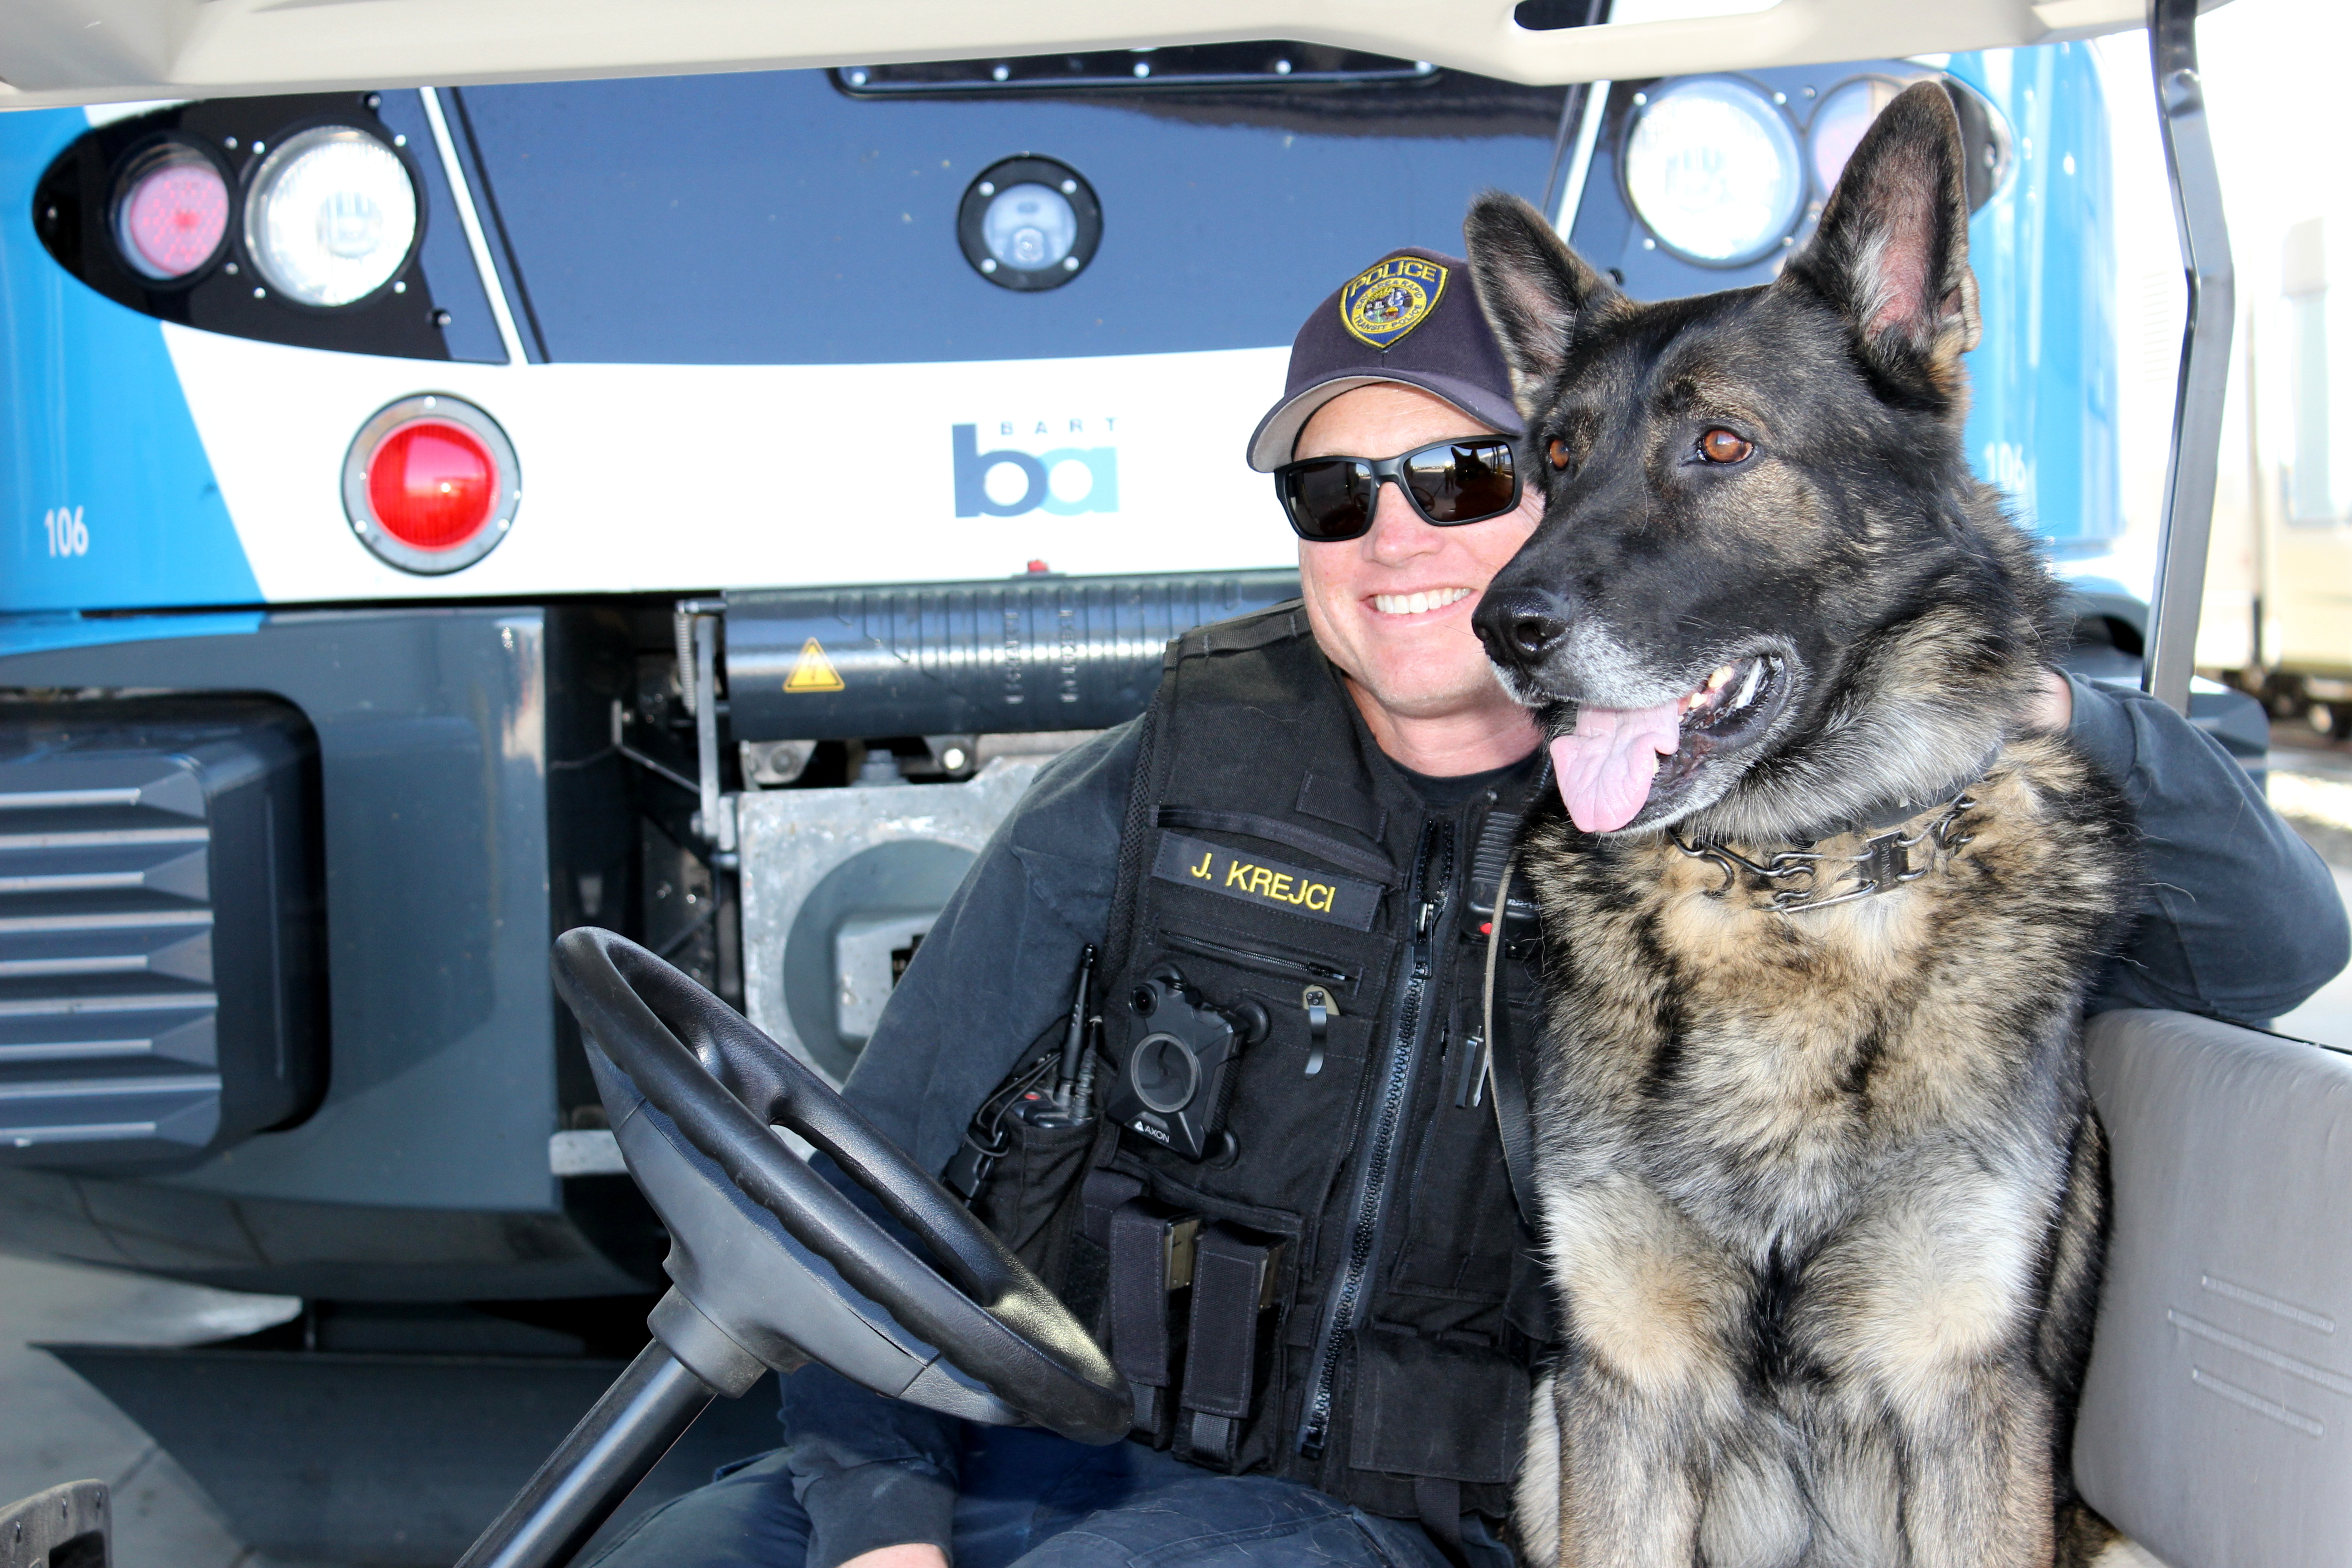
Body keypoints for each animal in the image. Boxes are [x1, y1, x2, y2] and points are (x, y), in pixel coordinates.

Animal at [1467, 88, 2136, 1568]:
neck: (1791, 887)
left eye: (1721, 445)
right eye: (1550, 460)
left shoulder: (1967, 1407)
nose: (1501, 629)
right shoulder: (1622, 1396)